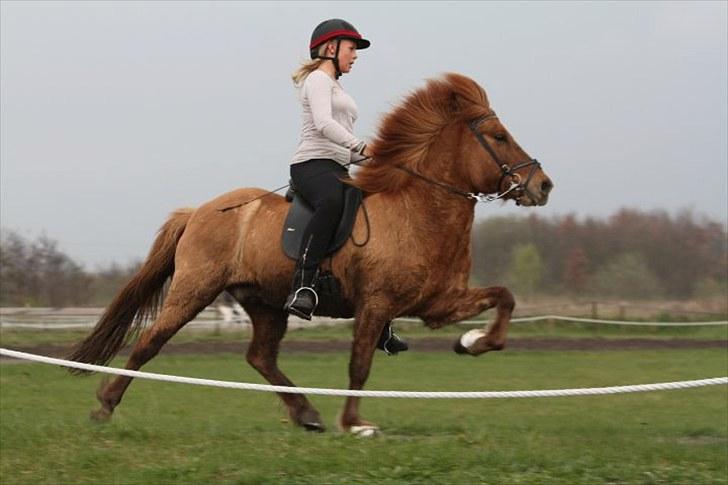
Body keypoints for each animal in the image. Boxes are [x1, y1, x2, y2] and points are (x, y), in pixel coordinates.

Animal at [71, 73, 556, 434]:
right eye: (498, 136)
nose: (543, 185)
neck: (420, 210)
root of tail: (198, 211)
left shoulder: (436, 303)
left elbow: (505, 297)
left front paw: (473, 342)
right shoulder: (376, 304)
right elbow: (359, 365)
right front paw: (356, 423)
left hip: (265, 302)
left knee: (259, 357)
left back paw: (306, 413)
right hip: (195, 290)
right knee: (150, 342)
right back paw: (104, 405)